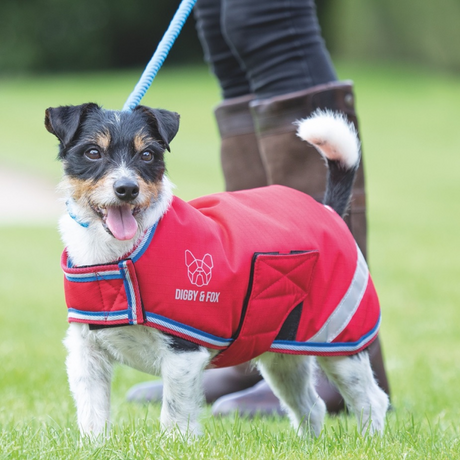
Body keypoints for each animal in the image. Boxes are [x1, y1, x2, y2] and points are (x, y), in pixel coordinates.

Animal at [45, 103, 388, 438]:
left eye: (148, 155)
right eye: (93, 152)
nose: (127, 189)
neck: (117, 255)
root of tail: (330, 211)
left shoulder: (182, 354)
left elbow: (175, 415)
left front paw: (175, 445)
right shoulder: (86, 354)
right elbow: (92, 415)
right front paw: (95, 446)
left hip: (342, 342)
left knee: (371, 401)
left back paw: (368, 442)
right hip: (284, 356)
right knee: (312, 406)